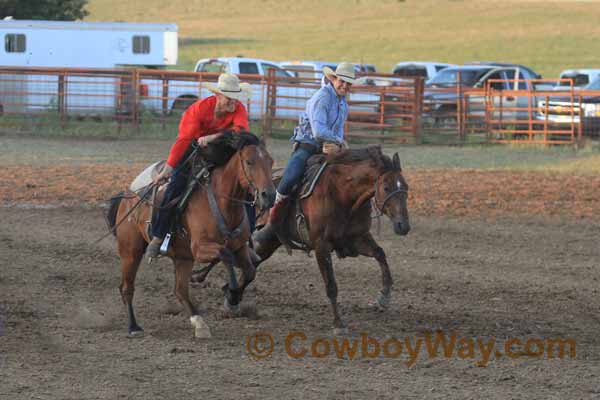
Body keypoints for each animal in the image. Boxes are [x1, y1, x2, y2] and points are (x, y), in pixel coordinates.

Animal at [106, 134, 276, 338]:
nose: (269, 195)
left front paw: (233, 299)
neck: (221, 204)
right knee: (127, 287)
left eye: (270, 161)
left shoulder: (240, 247)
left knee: (180, 290)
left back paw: (199, 323)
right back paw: (133, 327)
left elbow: (250, 271)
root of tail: (128, 194)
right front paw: (232, 294)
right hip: (131, 251)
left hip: (183, 257)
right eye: (249, 162)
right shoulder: (200, 249)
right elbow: (225, 255)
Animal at [251, 147, 410, 334]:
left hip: (269, 244)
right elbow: (331, 286)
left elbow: (380, 254)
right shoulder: (322, 246)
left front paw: (384, 296)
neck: (342, 194)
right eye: (386, 187)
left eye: (406, 187)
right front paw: (338, 323)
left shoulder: (357, 238)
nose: (403, 226)